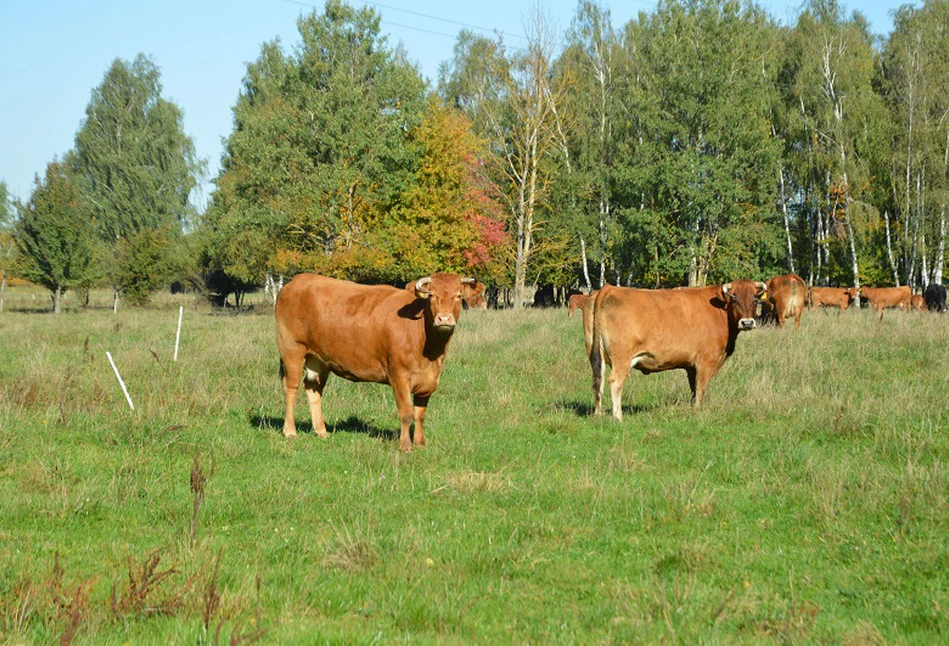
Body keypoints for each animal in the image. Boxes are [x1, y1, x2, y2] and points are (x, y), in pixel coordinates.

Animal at [276, 274, 478, 456]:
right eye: (431, 296)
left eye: (458, 296)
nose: (444, 319)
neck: (429, 350)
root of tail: (296, 281)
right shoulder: (399, 376)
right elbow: (406, 413)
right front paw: (405, 446)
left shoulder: (428, 381)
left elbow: (420, 415)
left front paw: (420, 444)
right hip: (292, 349)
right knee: (291, 388)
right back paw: (290, 431)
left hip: (318, 359)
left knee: (313, 388)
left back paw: (321, 431)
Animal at [588, 280, 768, 422]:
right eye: (734, 299)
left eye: (755, 299)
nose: (747, 322)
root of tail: (610, 288)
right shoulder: (705, 362)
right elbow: (700, 388)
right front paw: (697, 411)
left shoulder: (691, 366)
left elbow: (693, 389)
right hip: (622, 357)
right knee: (615, 381)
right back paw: (618, 417)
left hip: (596, 355)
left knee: (598, 380)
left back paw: (598, 414)